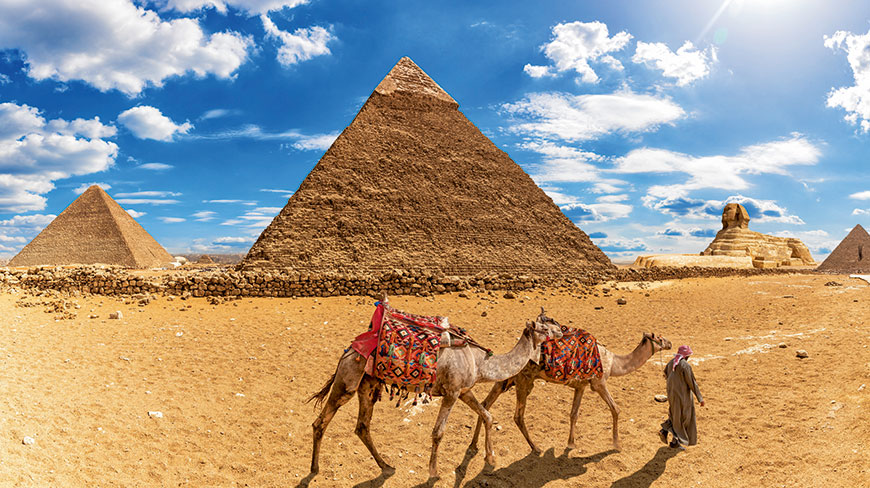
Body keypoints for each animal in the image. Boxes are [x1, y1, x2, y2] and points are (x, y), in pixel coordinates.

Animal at [307, 308, 563, 479]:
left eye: (551, 322)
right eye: (545, 327)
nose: (561, 331)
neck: (480, 362)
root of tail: (348, 350)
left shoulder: (464, 391)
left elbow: (487, 415)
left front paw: (490, 458)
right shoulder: (451, 392)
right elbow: (438, 433)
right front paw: (434, 472)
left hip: (368, 386)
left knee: (362, 426)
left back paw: (386, 466)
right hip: (348, 380)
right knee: (321, 422)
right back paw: (314, 469)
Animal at [471, 331, 672, 453]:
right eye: (660, 338)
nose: (670, 343)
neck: (614, 362)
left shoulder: (581, 386)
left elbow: (574, 414)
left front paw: (571, 443)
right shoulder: (599, 383)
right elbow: (616, 409)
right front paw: (617, 444)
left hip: (506, 379)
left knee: (485, 405)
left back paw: (473, 446)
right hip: (524, 380)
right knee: (517, 416)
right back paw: (536, 448)